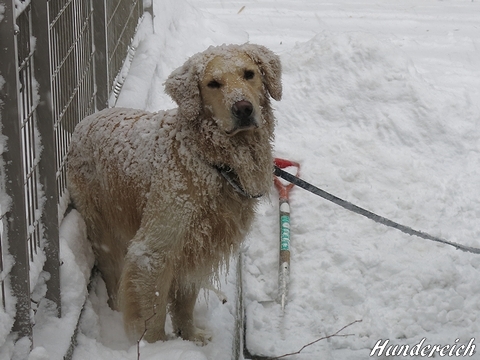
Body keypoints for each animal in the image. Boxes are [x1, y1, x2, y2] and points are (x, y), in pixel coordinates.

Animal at [67, 43, 282, 344]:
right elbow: (153, 313)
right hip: (103, 230)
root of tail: (85, 121)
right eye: (213, 84)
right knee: (113, 277)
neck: (210, 160)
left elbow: (184, 302)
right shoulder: (153, 250)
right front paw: (157, 347)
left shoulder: (197, 247)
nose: (243, 108)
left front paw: (189, 337)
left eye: (249, 74)